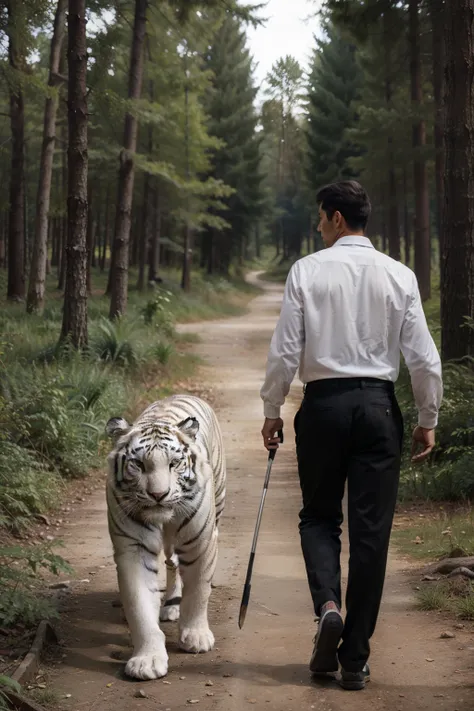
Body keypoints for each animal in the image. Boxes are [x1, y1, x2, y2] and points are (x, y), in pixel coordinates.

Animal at [105, 394, 226, 680]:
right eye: (138, 465)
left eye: (174, 463)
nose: (158, 495)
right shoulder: (134, 549)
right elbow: (139, 606)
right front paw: (146, 661)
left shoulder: (200, 543)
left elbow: (198, 590)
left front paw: (196, 636)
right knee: (172, 565)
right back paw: (170, 605)